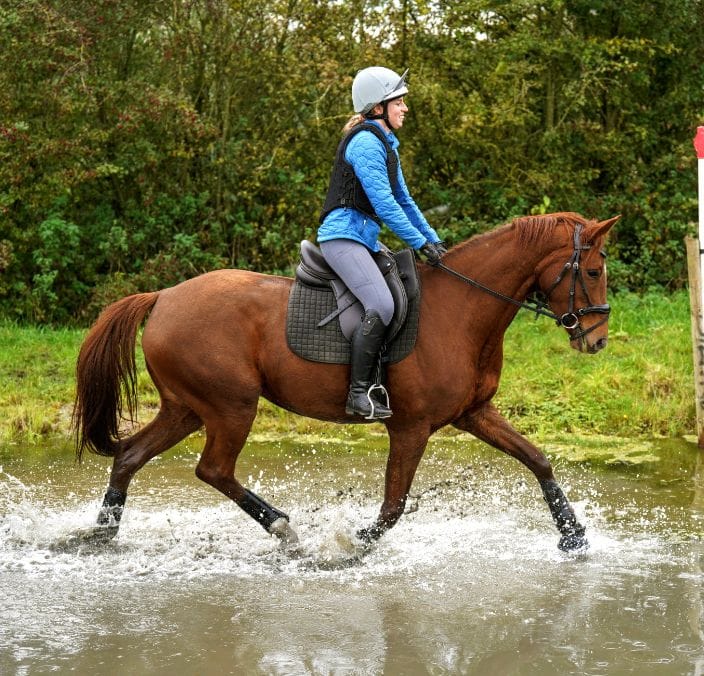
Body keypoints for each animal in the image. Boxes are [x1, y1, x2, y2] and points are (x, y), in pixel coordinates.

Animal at [74, 213, 620, 556]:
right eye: (593, 271)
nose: (596, 341)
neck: (461, 311)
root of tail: (163, 296)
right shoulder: (411, 427)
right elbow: (394, 505)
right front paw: (352, 544)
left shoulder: (474, 413)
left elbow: (537, 459)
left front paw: (573, 535)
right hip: (231, 407)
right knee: (213, 469)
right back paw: (284, 527)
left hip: (186, 408)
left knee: (130, 458)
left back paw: (101, 536)